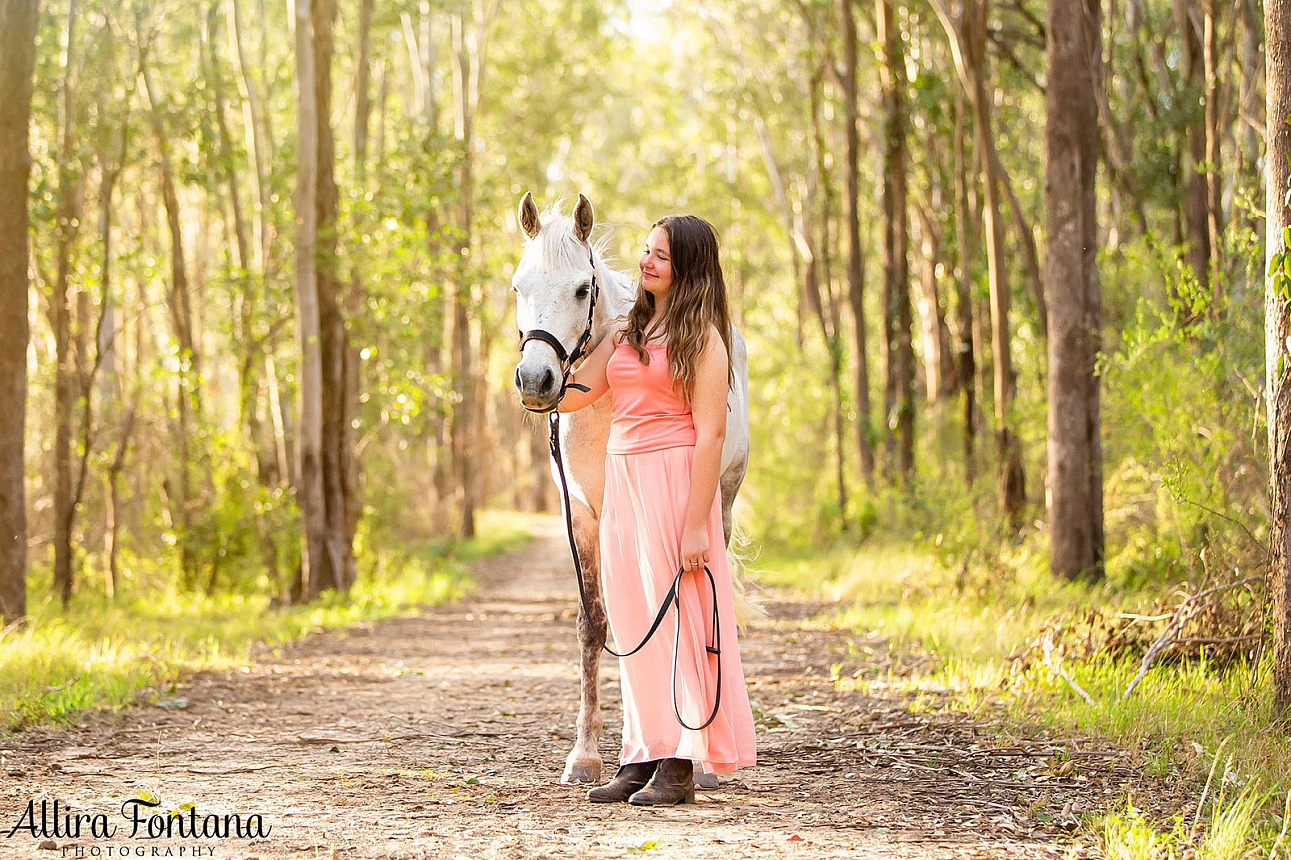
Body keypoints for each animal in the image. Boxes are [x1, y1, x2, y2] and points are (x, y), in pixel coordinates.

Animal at [508, 191, 753, 779]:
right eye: (518, 286)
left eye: (582, 288)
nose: (536, 382)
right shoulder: (583, 516)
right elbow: (596, 624)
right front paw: (587, 754)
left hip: (720, 503)